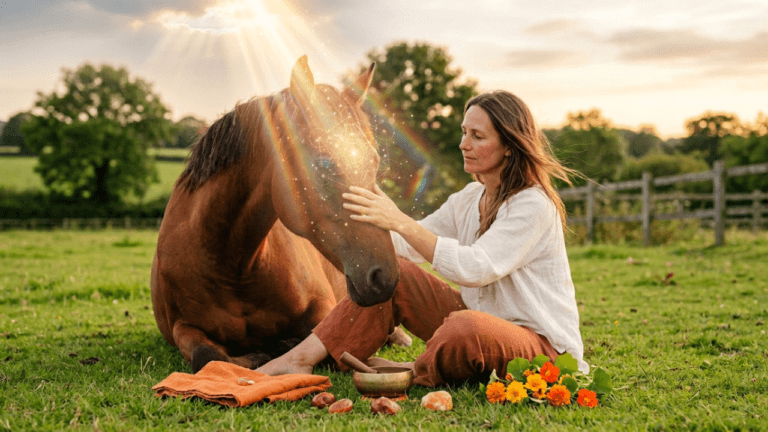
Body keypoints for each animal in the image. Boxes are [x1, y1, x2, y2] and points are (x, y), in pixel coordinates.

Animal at [151, 56, 407, 373]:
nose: (384, 278)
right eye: (323, 162)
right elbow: (207, 357)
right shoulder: (182, 327)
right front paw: (256, 356)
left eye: (374, 161)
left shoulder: (323, 306)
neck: (231, 266)